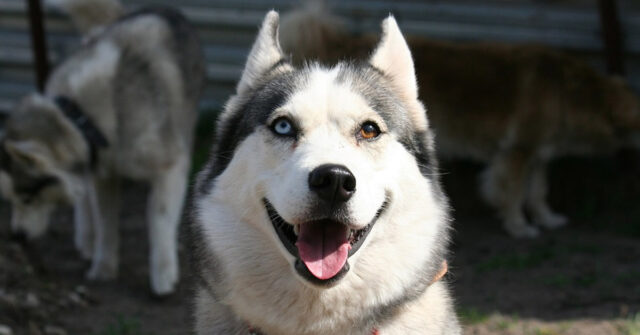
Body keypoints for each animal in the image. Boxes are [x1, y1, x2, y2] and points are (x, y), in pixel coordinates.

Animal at [0, 0, 205, 296]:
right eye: (13, 199)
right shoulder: (103, 173)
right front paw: (104, 266)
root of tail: (158, 9)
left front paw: (163, 275)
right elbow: (106, 222)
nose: (17, 237)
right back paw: (86, 239)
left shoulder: (170, 166)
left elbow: (160, 219)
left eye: (28, 197)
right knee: (85, 200)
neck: (81, 116)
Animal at [278, 7, 640, 239]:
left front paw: (547, 218)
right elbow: (512, 192)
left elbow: (537, 191)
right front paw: (518, 226)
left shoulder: (539, 154)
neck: (571, 91)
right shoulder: (516, 151)